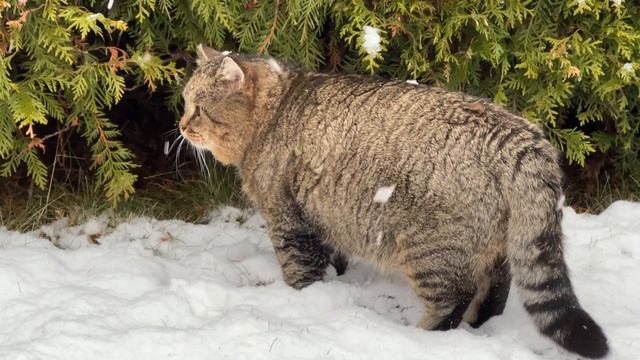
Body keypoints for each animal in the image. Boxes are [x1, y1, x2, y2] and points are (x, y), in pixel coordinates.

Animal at [180, 45, 608, 358]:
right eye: (184, 102)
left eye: (199, 108)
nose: (181, 125)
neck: (275, 113)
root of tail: (520, 138)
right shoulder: (327, 219)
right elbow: (333, 262)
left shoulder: (288, 220)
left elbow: (301, 271)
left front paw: (300, 301)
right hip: (493, 245)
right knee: (494, 295)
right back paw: (477, 327)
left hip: (432, 251)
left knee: (452, 302)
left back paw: (424, 339)